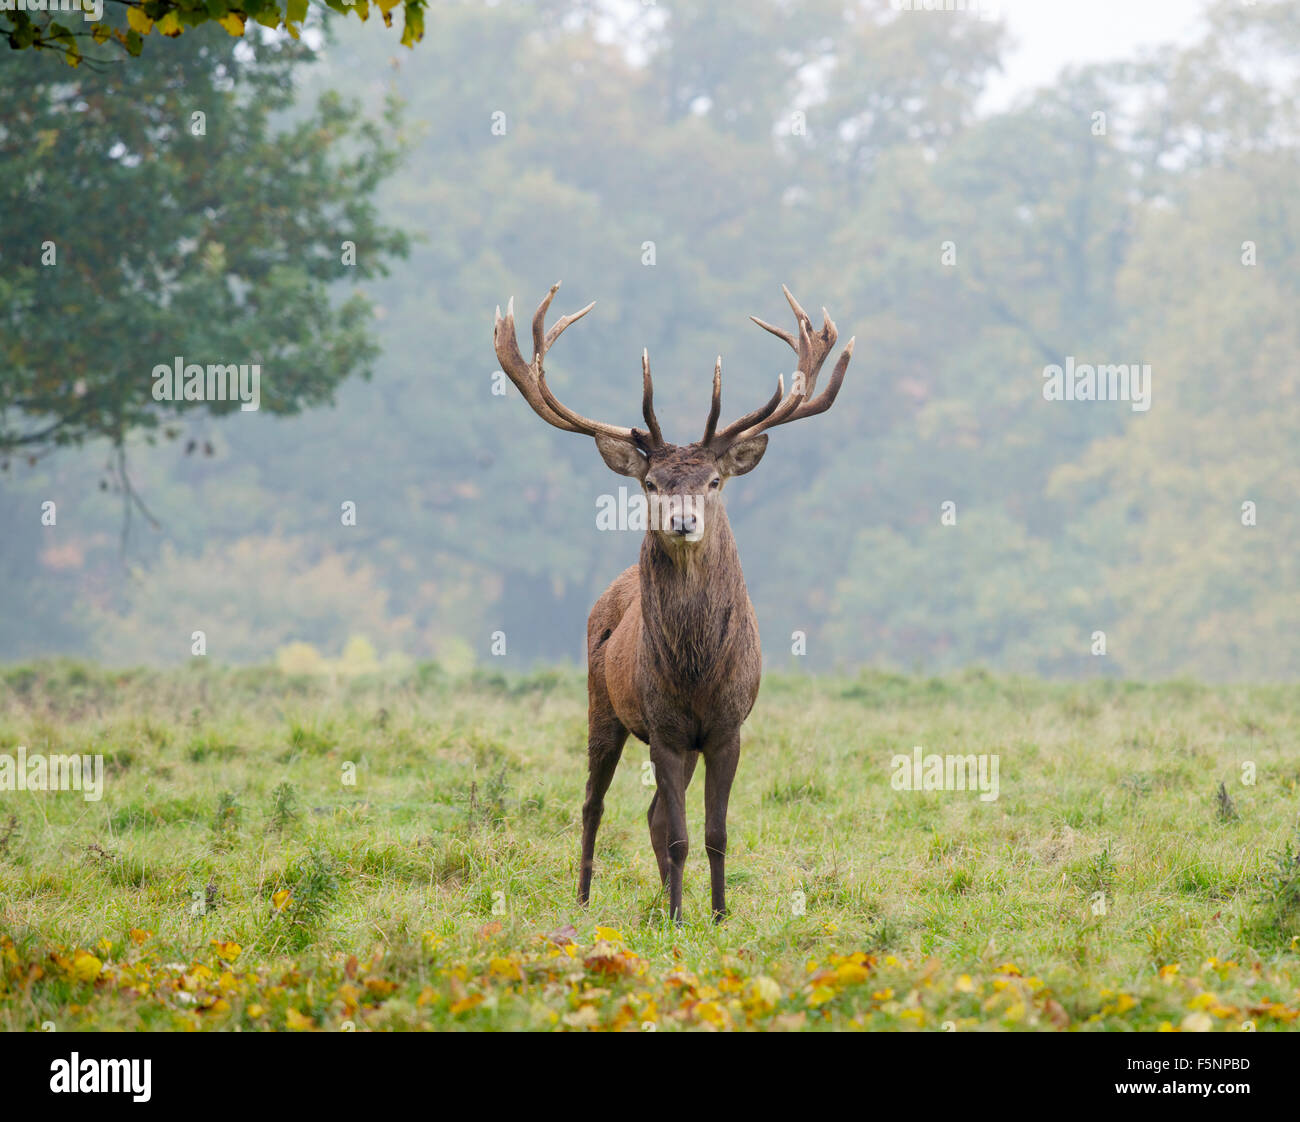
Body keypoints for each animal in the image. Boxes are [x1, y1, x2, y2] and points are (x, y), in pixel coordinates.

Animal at [488, 280, 852, 920]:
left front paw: (718, 914)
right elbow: (681, 834)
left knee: (652, 811)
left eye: (714, 481)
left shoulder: (728, 727)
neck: (696, 671)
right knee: (594, 804)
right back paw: (585, 899)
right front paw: (683, 920)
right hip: (601, 704)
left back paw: (662, 897)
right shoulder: (664, 726)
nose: (683, 522)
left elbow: (715, 833)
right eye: (651, 484)